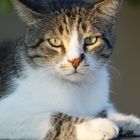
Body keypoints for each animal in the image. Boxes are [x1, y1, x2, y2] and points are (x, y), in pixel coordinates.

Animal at [0, 0, 140, 139]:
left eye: (91, 40)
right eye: (55, 41)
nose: (75, 60)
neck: (77, 89)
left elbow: (104, 109)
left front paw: (126, 120)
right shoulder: (8, 113)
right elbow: (51, 118)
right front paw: (95, 126)